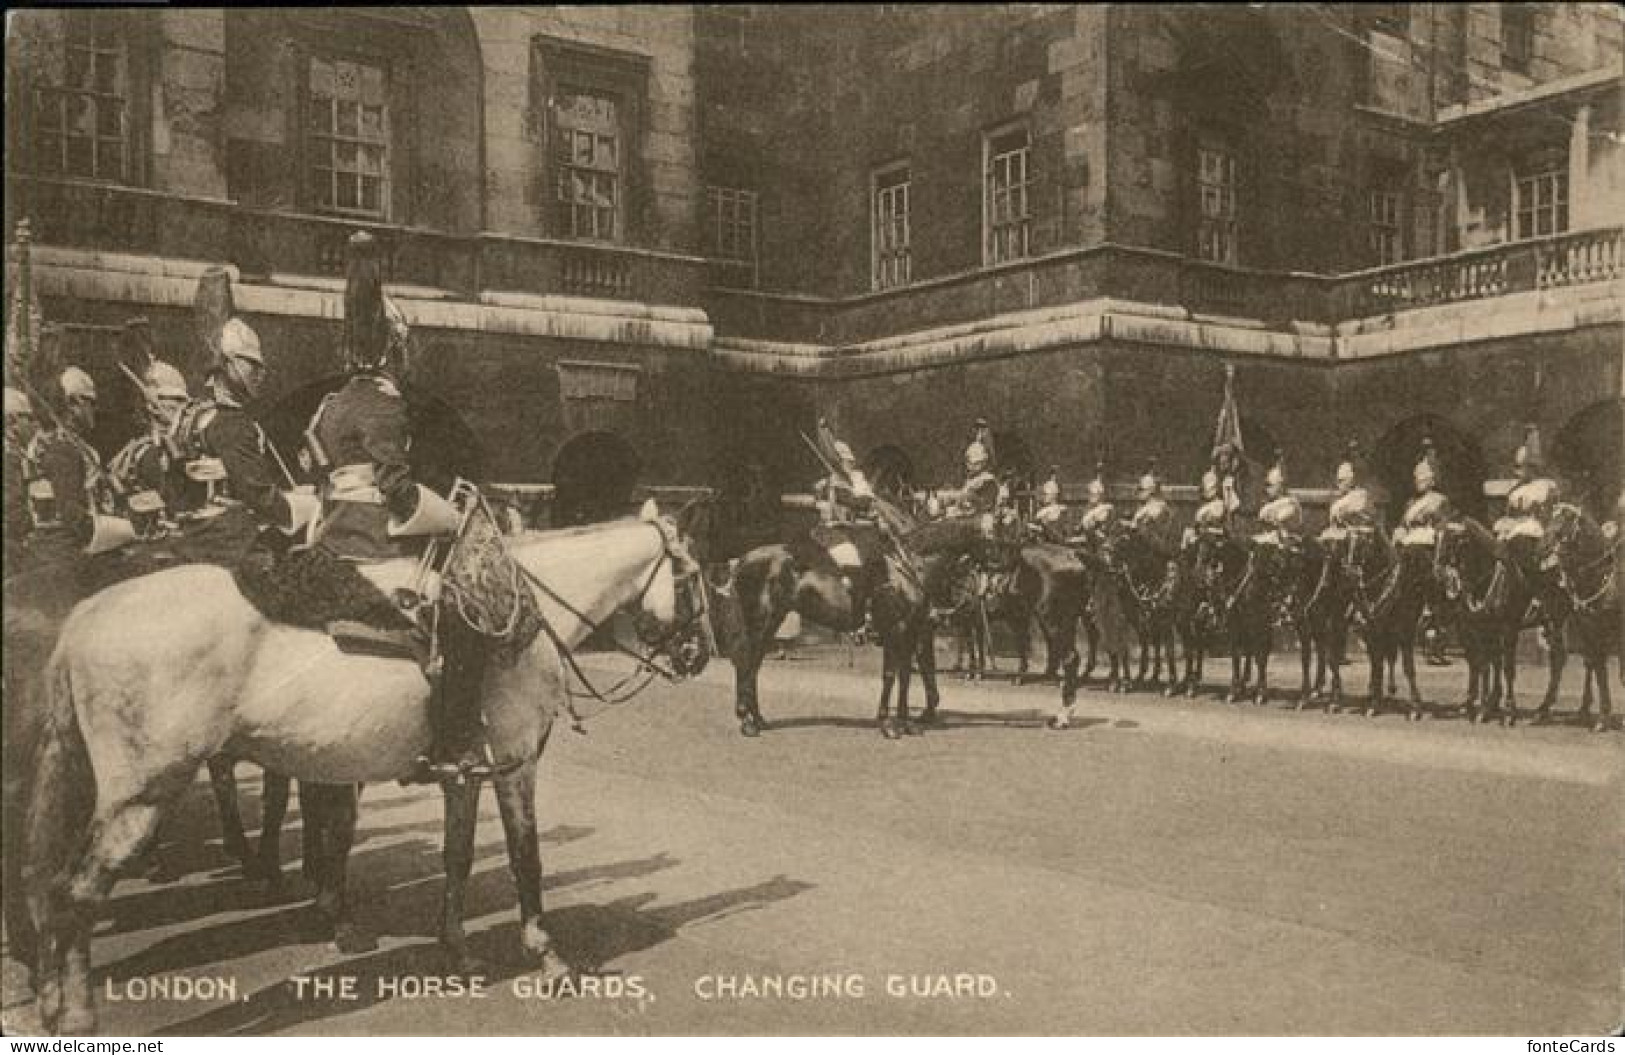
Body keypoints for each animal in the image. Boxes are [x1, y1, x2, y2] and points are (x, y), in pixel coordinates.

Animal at [25, 500, 711, 1027]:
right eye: (698, 577)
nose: (699, 655)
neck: (517, 611)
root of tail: (86, 615)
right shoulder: (515, 764)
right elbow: (526, 858)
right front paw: (548, 957)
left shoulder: (465, 774)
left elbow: (458, 857)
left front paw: (458, 951)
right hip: (141, 793)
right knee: (78, 891)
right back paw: (80, 1013)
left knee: (52, 885)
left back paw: (53, 999)